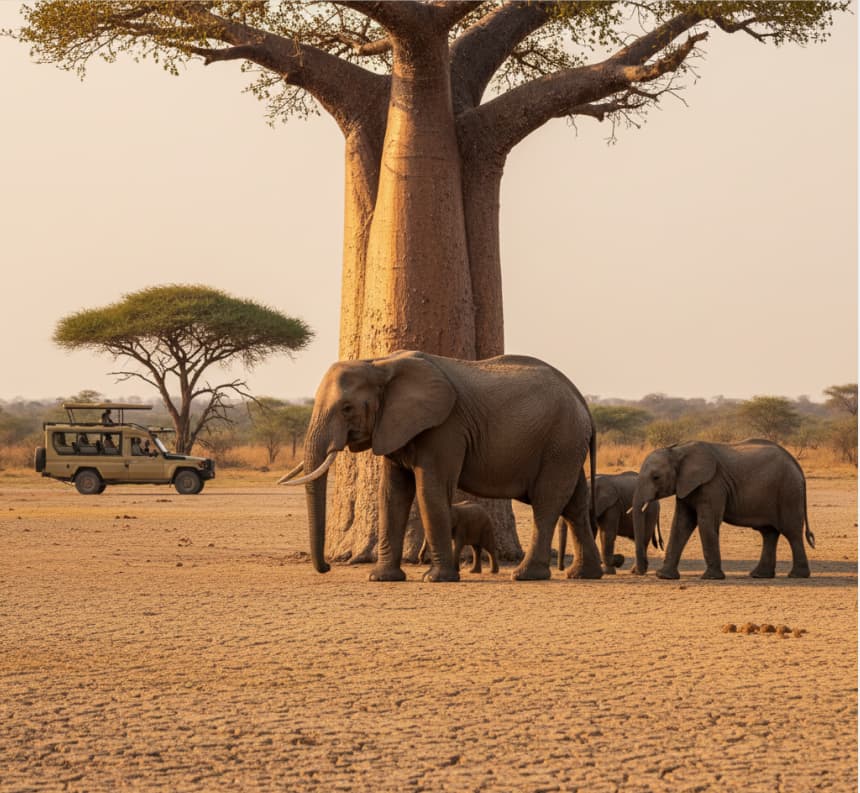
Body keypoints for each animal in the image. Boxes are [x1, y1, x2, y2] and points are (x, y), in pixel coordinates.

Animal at [280, 350, 601, 582]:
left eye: (347, 409)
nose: (326, 568)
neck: (380, 363)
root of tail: (582, 401)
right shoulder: (395, 426)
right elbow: (392, 495)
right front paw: (381, 578)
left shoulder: (445, 428)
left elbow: (430, 490)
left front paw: (436, 578)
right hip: (568, 445)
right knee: (575, 505)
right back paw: (583, 574)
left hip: (560, 441)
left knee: (548, 504)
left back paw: (525, 575)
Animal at [630, 439, 814, 580]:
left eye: (656, 477)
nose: (639, 572)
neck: (679, 450)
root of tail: (796, 465)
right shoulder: (686, 486)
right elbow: (681, 524)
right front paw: (664, 576)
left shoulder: (713, 484)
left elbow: (706, 523)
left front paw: (711, 577)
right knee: (769, 533)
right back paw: (759, 575)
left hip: (789, 491)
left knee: (791, 532)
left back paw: (797, 575)